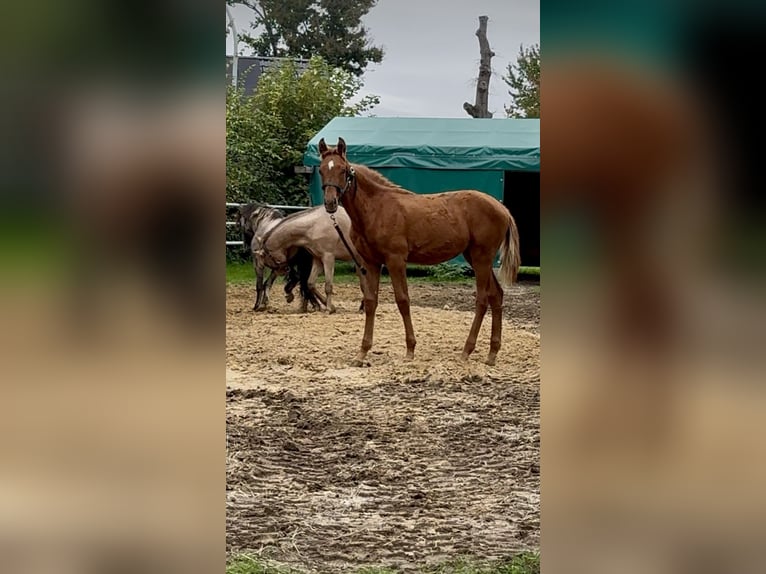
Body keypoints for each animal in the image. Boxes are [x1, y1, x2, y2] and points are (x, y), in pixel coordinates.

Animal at [317, 137, 521, 366]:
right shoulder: (371, 263)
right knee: (496, 295)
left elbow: (402, 300)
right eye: (321, 170)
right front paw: (362, 353)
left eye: (343, 170)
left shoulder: (395, 260)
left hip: (482, 258)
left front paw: (410, 350)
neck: (378, 209)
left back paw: (466, 351)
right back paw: (492, 353)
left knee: (483, 300)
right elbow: (370, 302)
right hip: (475, 257)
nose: (330, 203)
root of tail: (503, 209)